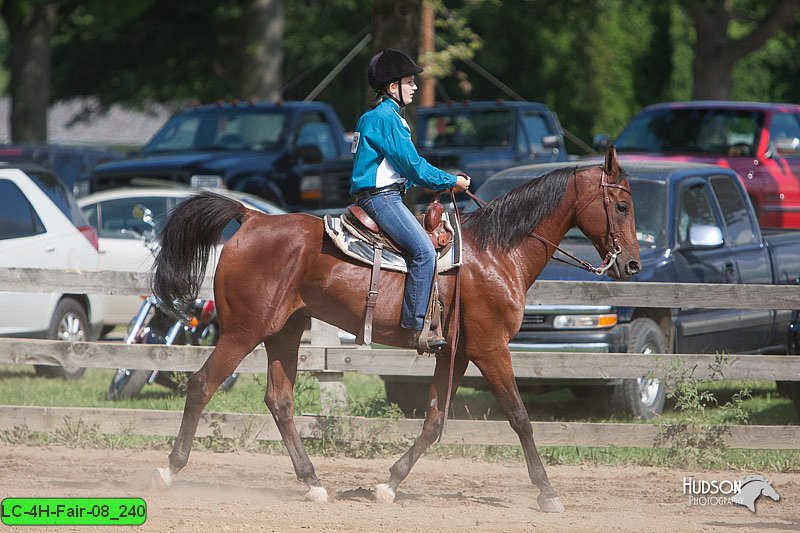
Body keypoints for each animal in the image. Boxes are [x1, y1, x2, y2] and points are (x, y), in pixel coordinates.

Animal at [148, 145, 636, 512]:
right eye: (623, 205)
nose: (631, 264)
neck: (497, 254)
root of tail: (253, 217)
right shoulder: (491, 348)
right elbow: (519, 418)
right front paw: (548, 492)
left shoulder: (455, 352)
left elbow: (435, 420)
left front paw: (391, 483)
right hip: (243, 332)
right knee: (202, 384)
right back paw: (169, 470)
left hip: (284, 331)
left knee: (279, 401)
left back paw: (313, 482)